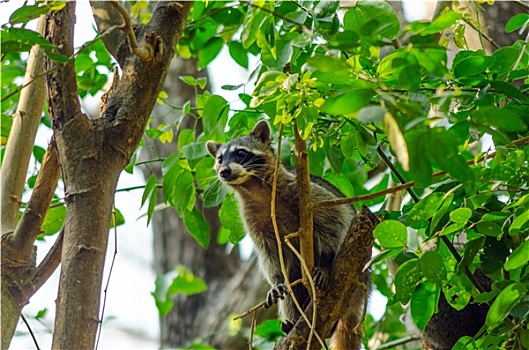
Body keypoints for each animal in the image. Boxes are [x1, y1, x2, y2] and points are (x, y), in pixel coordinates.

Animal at [206, 121, 368, 350]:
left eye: (240, 153)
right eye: (220, 159)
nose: (224, 171)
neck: (253, 187)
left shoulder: (303, 191)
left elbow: (336, 216)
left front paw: (326, 260)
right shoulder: (253, 218)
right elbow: (268, 251)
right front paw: (276, 280)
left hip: (358, 276)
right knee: (292, 290)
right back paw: (293, 321)